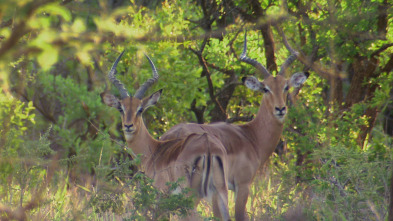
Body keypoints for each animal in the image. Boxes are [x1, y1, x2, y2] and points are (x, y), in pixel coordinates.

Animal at [99, 51, 231, 219]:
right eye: (121, 108)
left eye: (140, 109)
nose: (128, 126)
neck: (154, 151)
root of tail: (207, 145)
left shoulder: (160, 197)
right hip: (221, 193)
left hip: (189, 199)